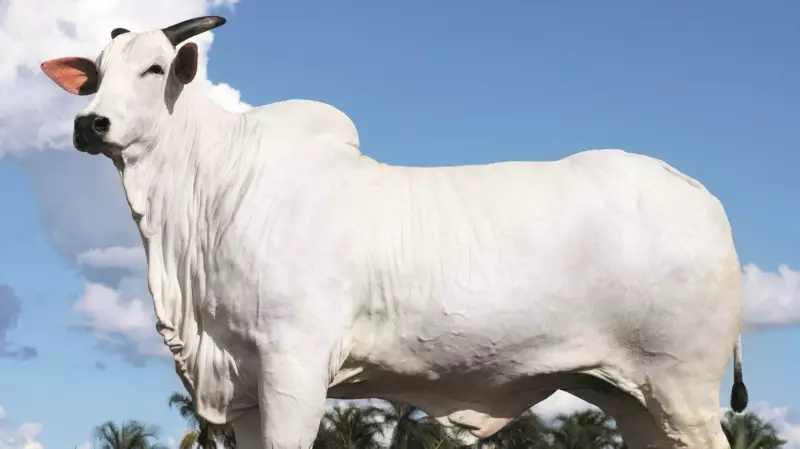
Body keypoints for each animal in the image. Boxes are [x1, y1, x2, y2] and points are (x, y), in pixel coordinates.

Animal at [40, 16, 748, 449]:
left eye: (156, 70)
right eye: (95, 73)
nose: (90, 124)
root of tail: (698, 194)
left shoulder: (294, 365)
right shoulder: (241, 384)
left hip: (684, 387)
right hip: (632, 397)